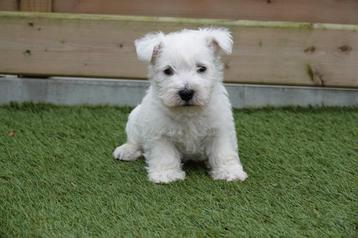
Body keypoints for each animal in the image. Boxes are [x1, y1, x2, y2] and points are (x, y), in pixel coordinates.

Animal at [113, 28, 248, 184]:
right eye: (168, 71)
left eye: (201, 68)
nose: (186, 93)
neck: (188, 112)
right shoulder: (159, 132)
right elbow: (164, 154)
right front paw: (166, 174)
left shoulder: (220, 128)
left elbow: (223, 151)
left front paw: (229, 172)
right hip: (135, 118)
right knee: (134, 140)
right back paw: (126, 150)